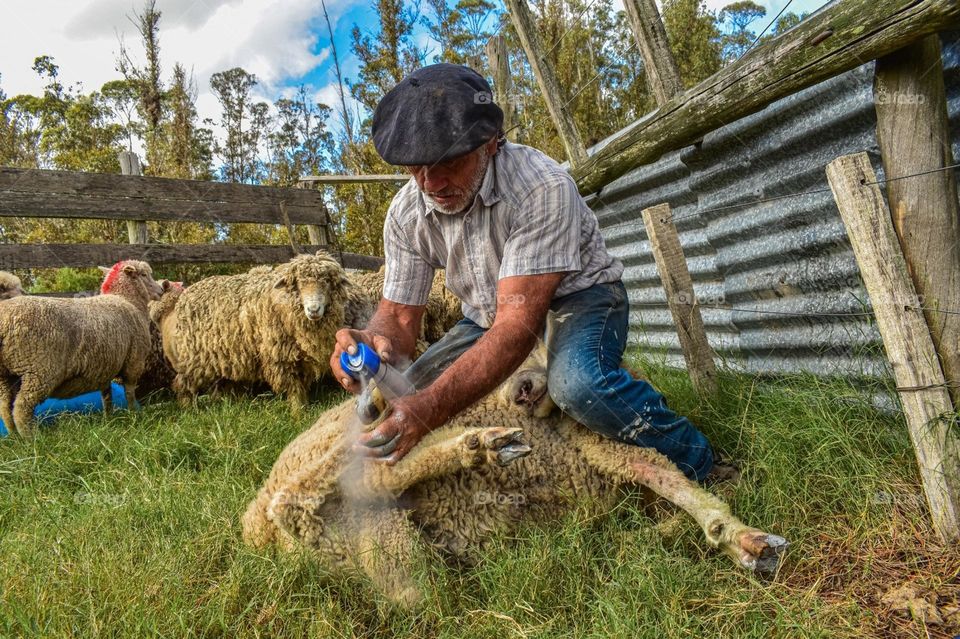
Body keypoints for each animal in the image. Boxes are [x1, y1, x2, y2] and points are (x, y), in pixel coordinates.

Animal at [158, 252, 352, 412]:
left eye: (327, 281)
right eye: (298, 283)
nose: (313, 309)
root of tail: (180, 302)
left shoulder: (300, 358)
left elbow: (301, 386)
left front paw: (303, 408)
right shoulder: (279, 356)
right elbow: (293, 387)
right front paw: (298, 413)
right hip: (192, 359)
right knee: (184, 385)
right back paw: (189, 410)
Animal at [240, 344, 788, 604]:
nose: (521, 388)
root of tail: (257, 530)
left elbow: (663, 486)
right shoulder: (598, 444)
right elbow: (668, 477)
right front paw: (741, 537)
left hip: (388, 548)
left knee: (408, 582)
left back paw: (475, 448)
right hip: (331, 460)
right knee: (310, 488)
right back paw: (469, 443)